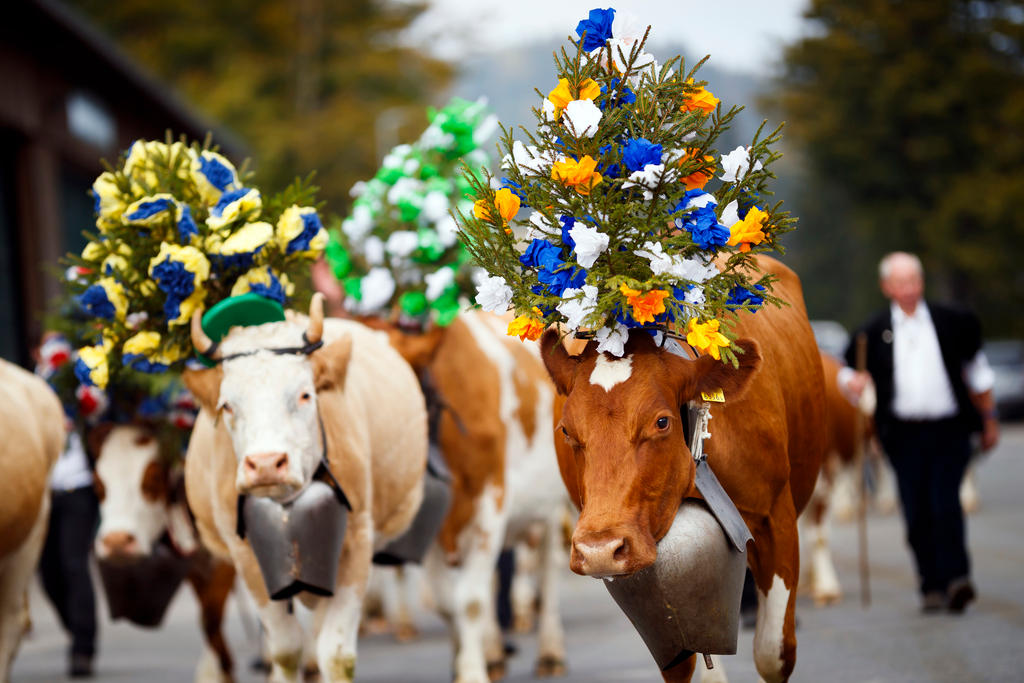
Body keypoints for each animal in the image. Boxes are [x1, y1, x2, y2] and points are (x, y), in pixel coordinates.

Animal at [182, 294, 425, 683]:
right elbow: (285, 649)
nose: (266, 464)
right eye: (227, 406)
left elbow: (337, 654)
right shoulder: (247, 557)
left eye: (305, 395)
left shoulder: (356, 544)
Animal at [385, 311, 573, 683]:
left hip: (551, 507)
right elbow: (448, 603)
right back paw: (494, 651)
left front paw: (471, 672)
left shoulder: (489, 504)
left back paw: (549, 651)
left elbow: (470, 601)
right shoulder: (432, 526)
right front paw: (465, 660)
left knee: (547, 573)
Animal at [544, 258, 823, 683]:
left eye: (661, 422)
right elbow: (681, 659)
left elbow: (773, 653)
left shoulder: (777, 517)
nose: (598, 550)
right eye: (566, 430)